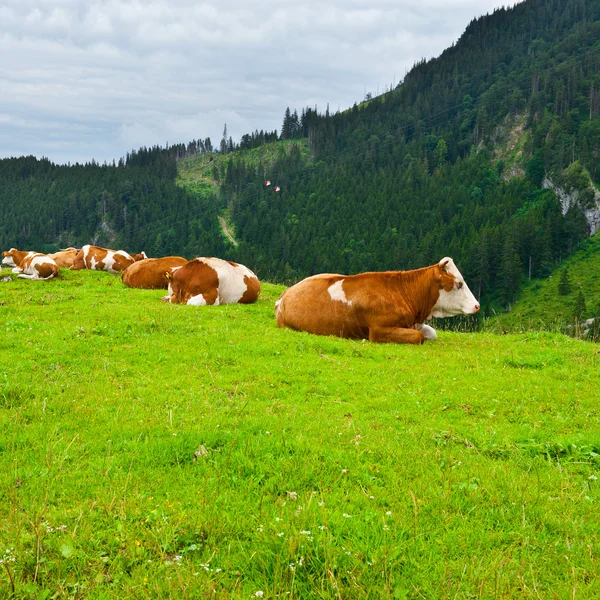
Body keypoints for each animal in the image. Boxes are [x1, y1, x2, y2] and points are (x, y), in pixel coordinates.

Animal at [276, 255, 478, 344]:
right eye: (459, 284)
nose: (477, 305)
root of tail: (283, 296)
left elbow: (430, 333)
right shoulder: (378, 330)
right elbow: (418, 336)